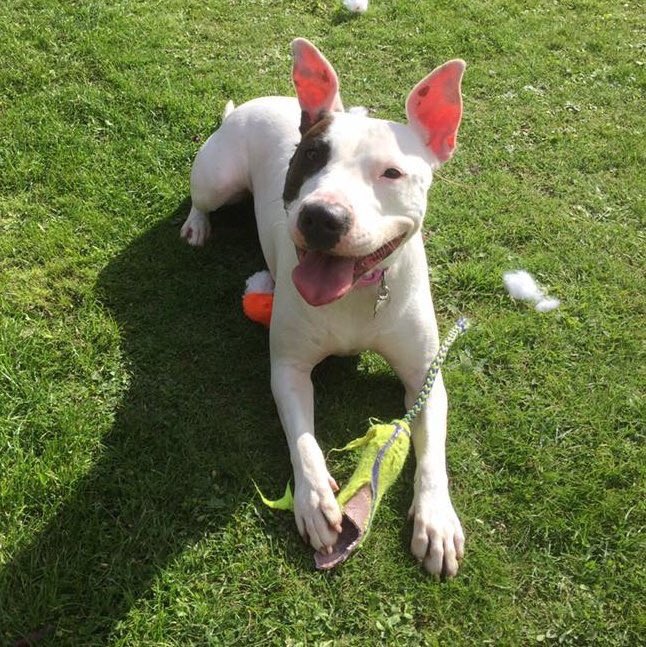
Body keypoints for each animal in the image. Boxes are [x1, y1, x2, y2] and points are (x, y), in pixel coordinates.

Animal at [181, 39, 466, 576]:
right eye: (311, 156)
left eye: (392, 173)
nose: (321, 217)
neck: (357, 292)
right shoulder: (288, 368)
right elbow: (303, 439)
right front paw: (313, 500)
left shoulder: (425, 376)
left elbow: (433, 453)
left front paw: (436, 518)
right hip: (217, 177)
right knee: (201, 199)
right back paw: (197, 225)